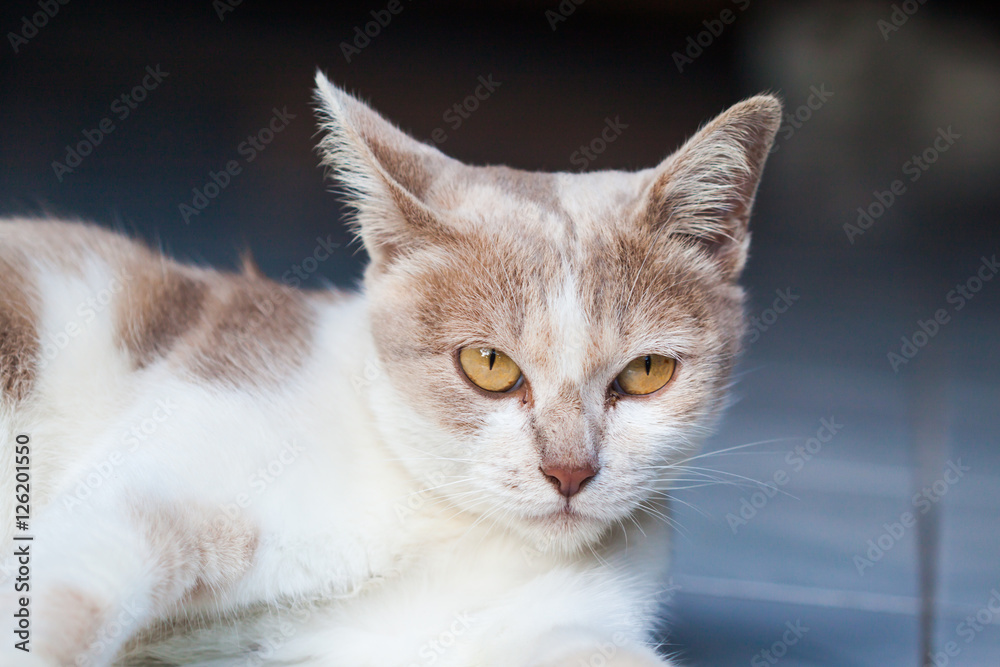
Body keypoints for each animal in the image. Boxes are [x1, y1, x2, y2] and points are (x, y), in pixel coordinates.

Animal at [0, 73, 780, 667]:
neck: (427, 512)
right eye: (489, 364)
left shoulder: (493, 626)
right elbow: (69, 597)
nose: (569, 471)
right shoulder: (152, 487)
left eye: (646, 370)